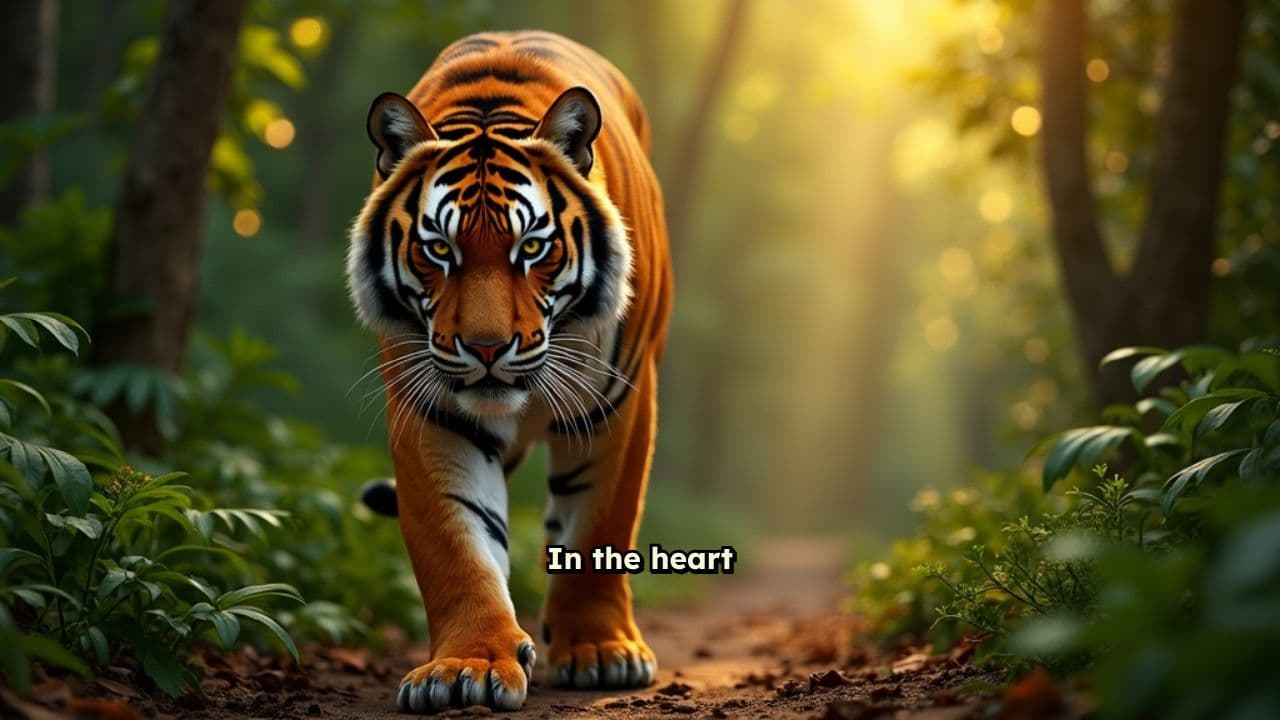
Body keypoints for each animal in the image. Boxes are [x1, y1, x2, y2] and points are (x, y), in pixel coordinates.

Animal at [345, 31, 673, 713]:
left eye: (533, 248)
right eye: (439, 249)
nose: (487, 347)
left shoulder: (622, 403)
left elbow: (600, 527)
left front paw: (601, 652)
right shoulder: (431, 410)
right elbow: (455, 544)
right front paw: (465, 666)